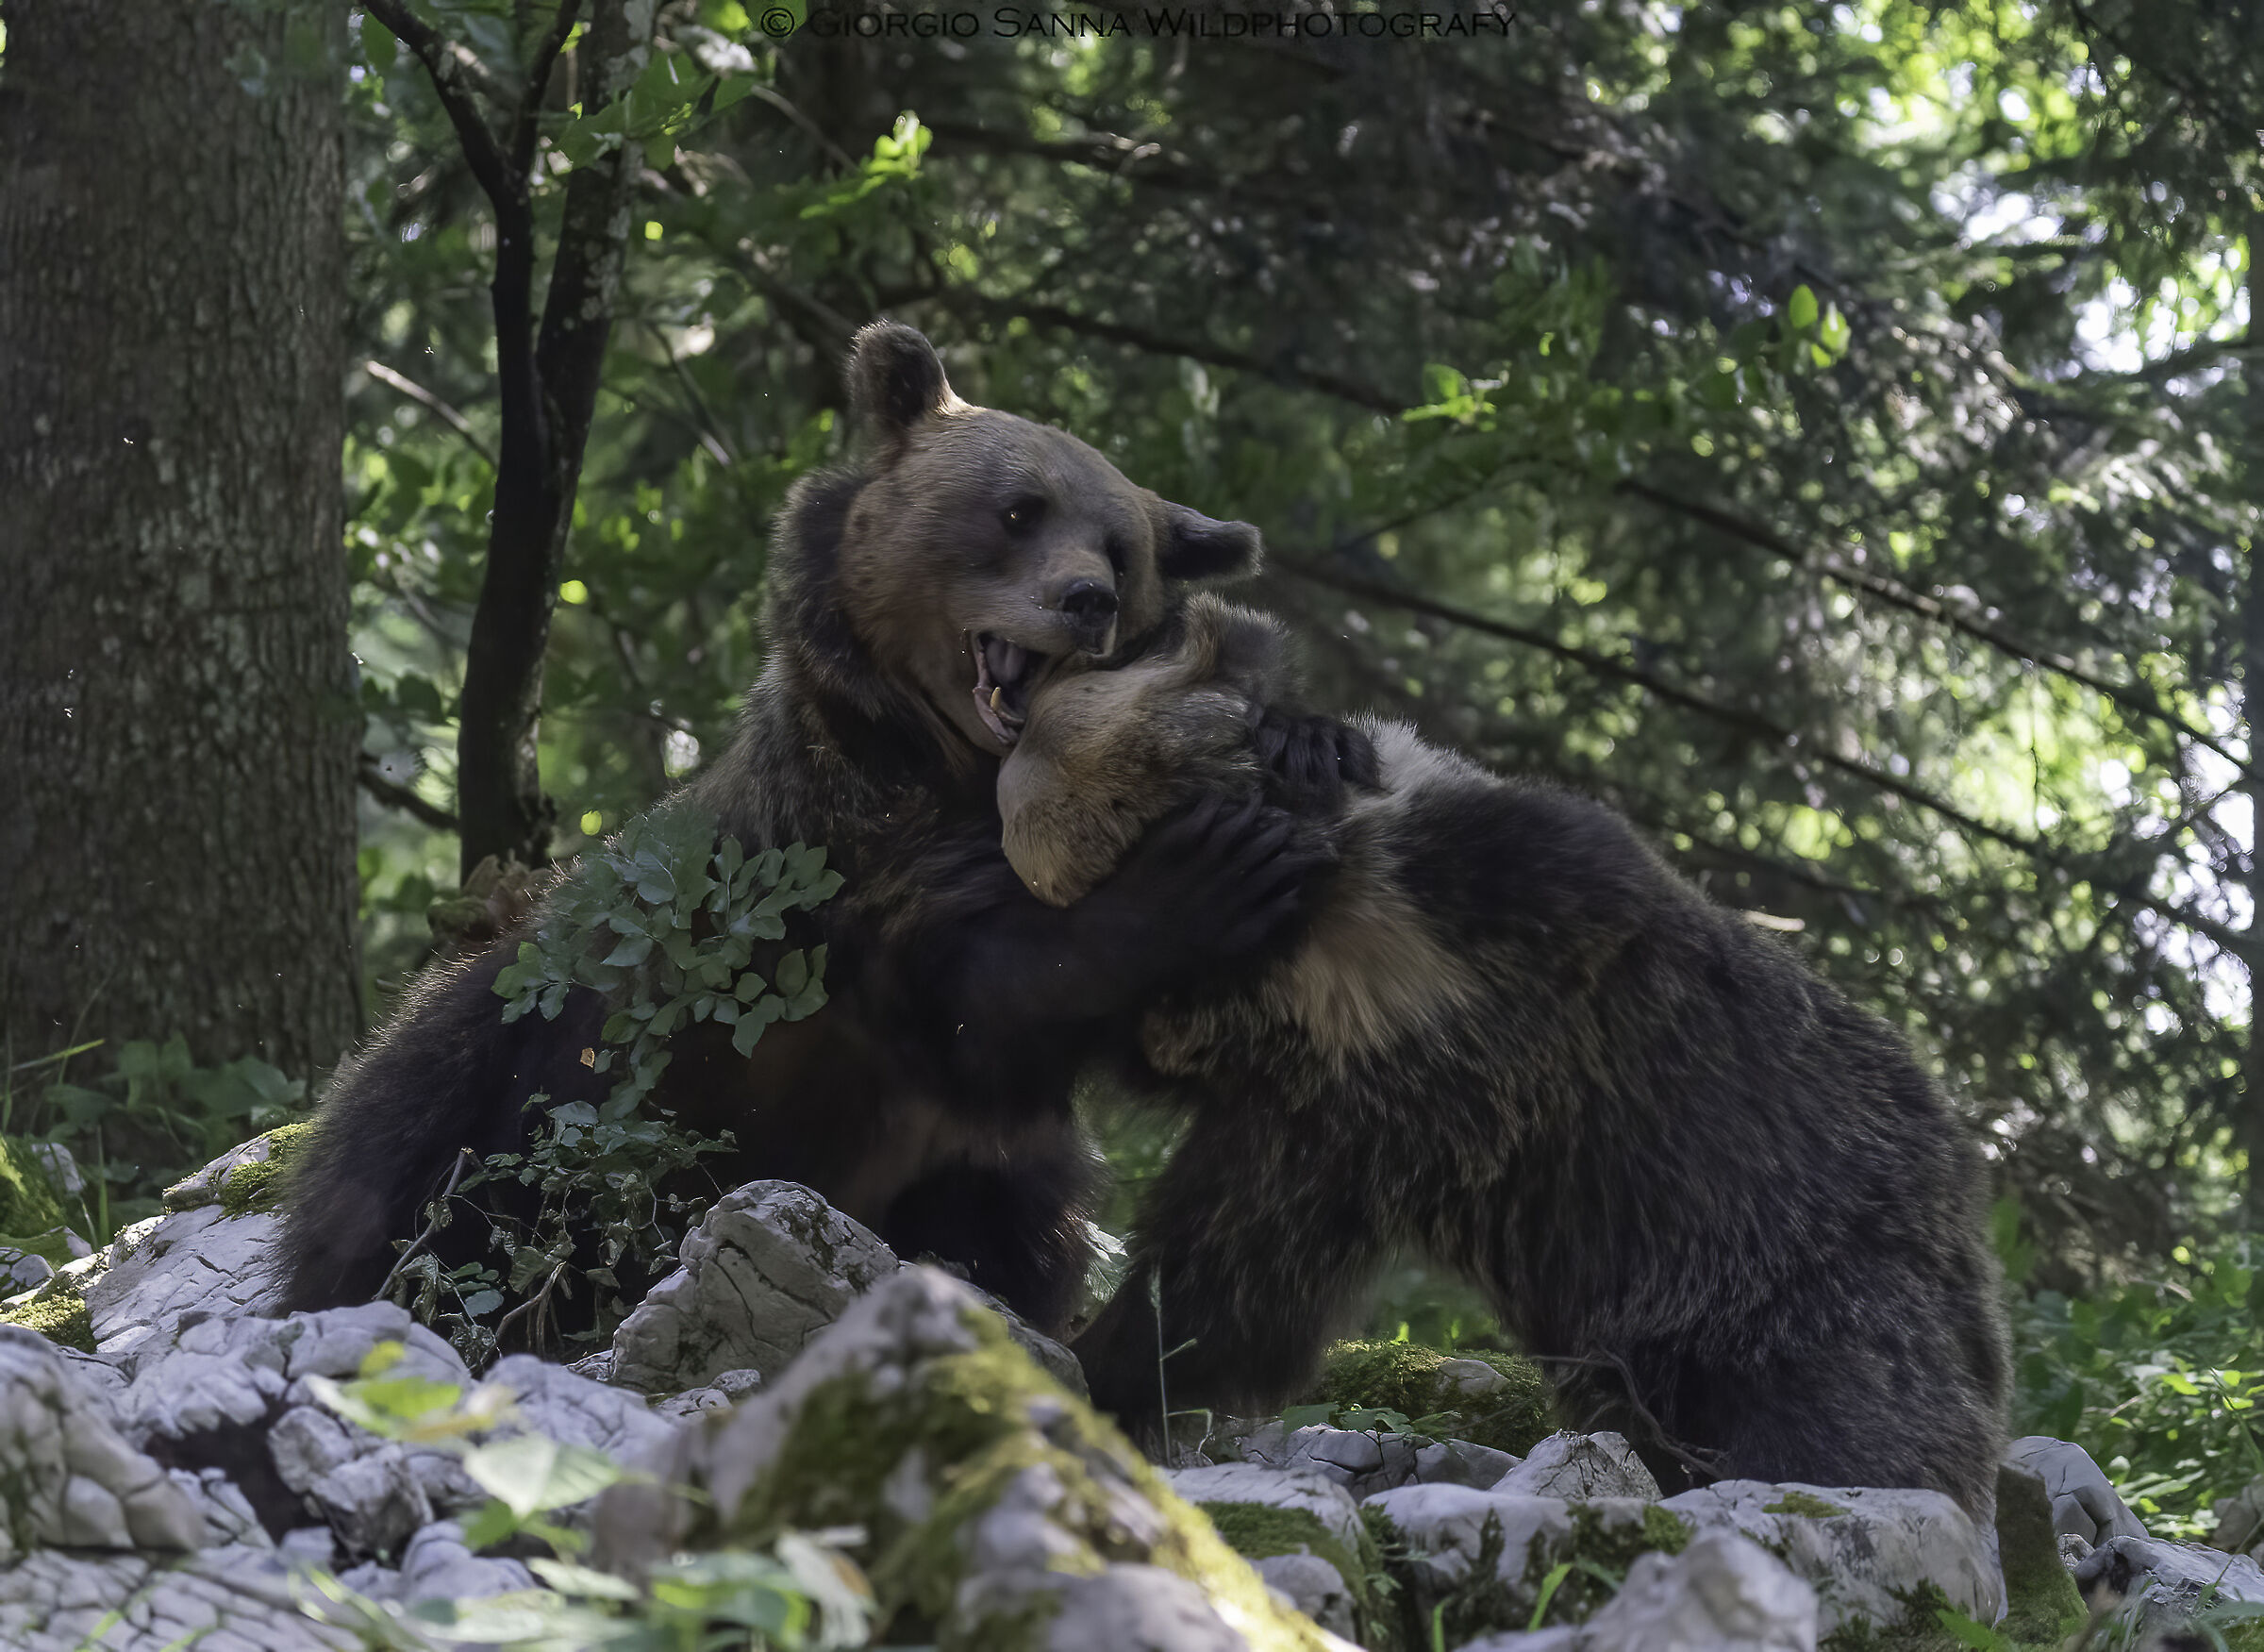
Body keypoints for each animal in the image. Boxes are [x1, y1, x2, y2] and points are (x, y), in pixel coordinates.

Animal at [278, 324, 1360, 1336]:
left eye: (1122, 549)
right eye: (1020, 510)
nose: (1085, 599)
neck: (956, 768)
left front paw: (1311, 743)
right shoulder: (838, 855)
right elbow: (983, 989)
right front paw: (1210, 874)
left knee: (1026, 1214)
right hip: (523, 1064)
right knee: (430, 1177)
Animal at [995, 594, 2010, 1516]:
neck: (1325, 957)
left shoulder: (1491, 895)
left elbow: (1590, 867)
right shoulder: (1312, 1113)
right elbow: (1226, 1274)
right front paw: (1104, 1359)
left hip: (1817, 1269)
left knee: (1848, 1412)